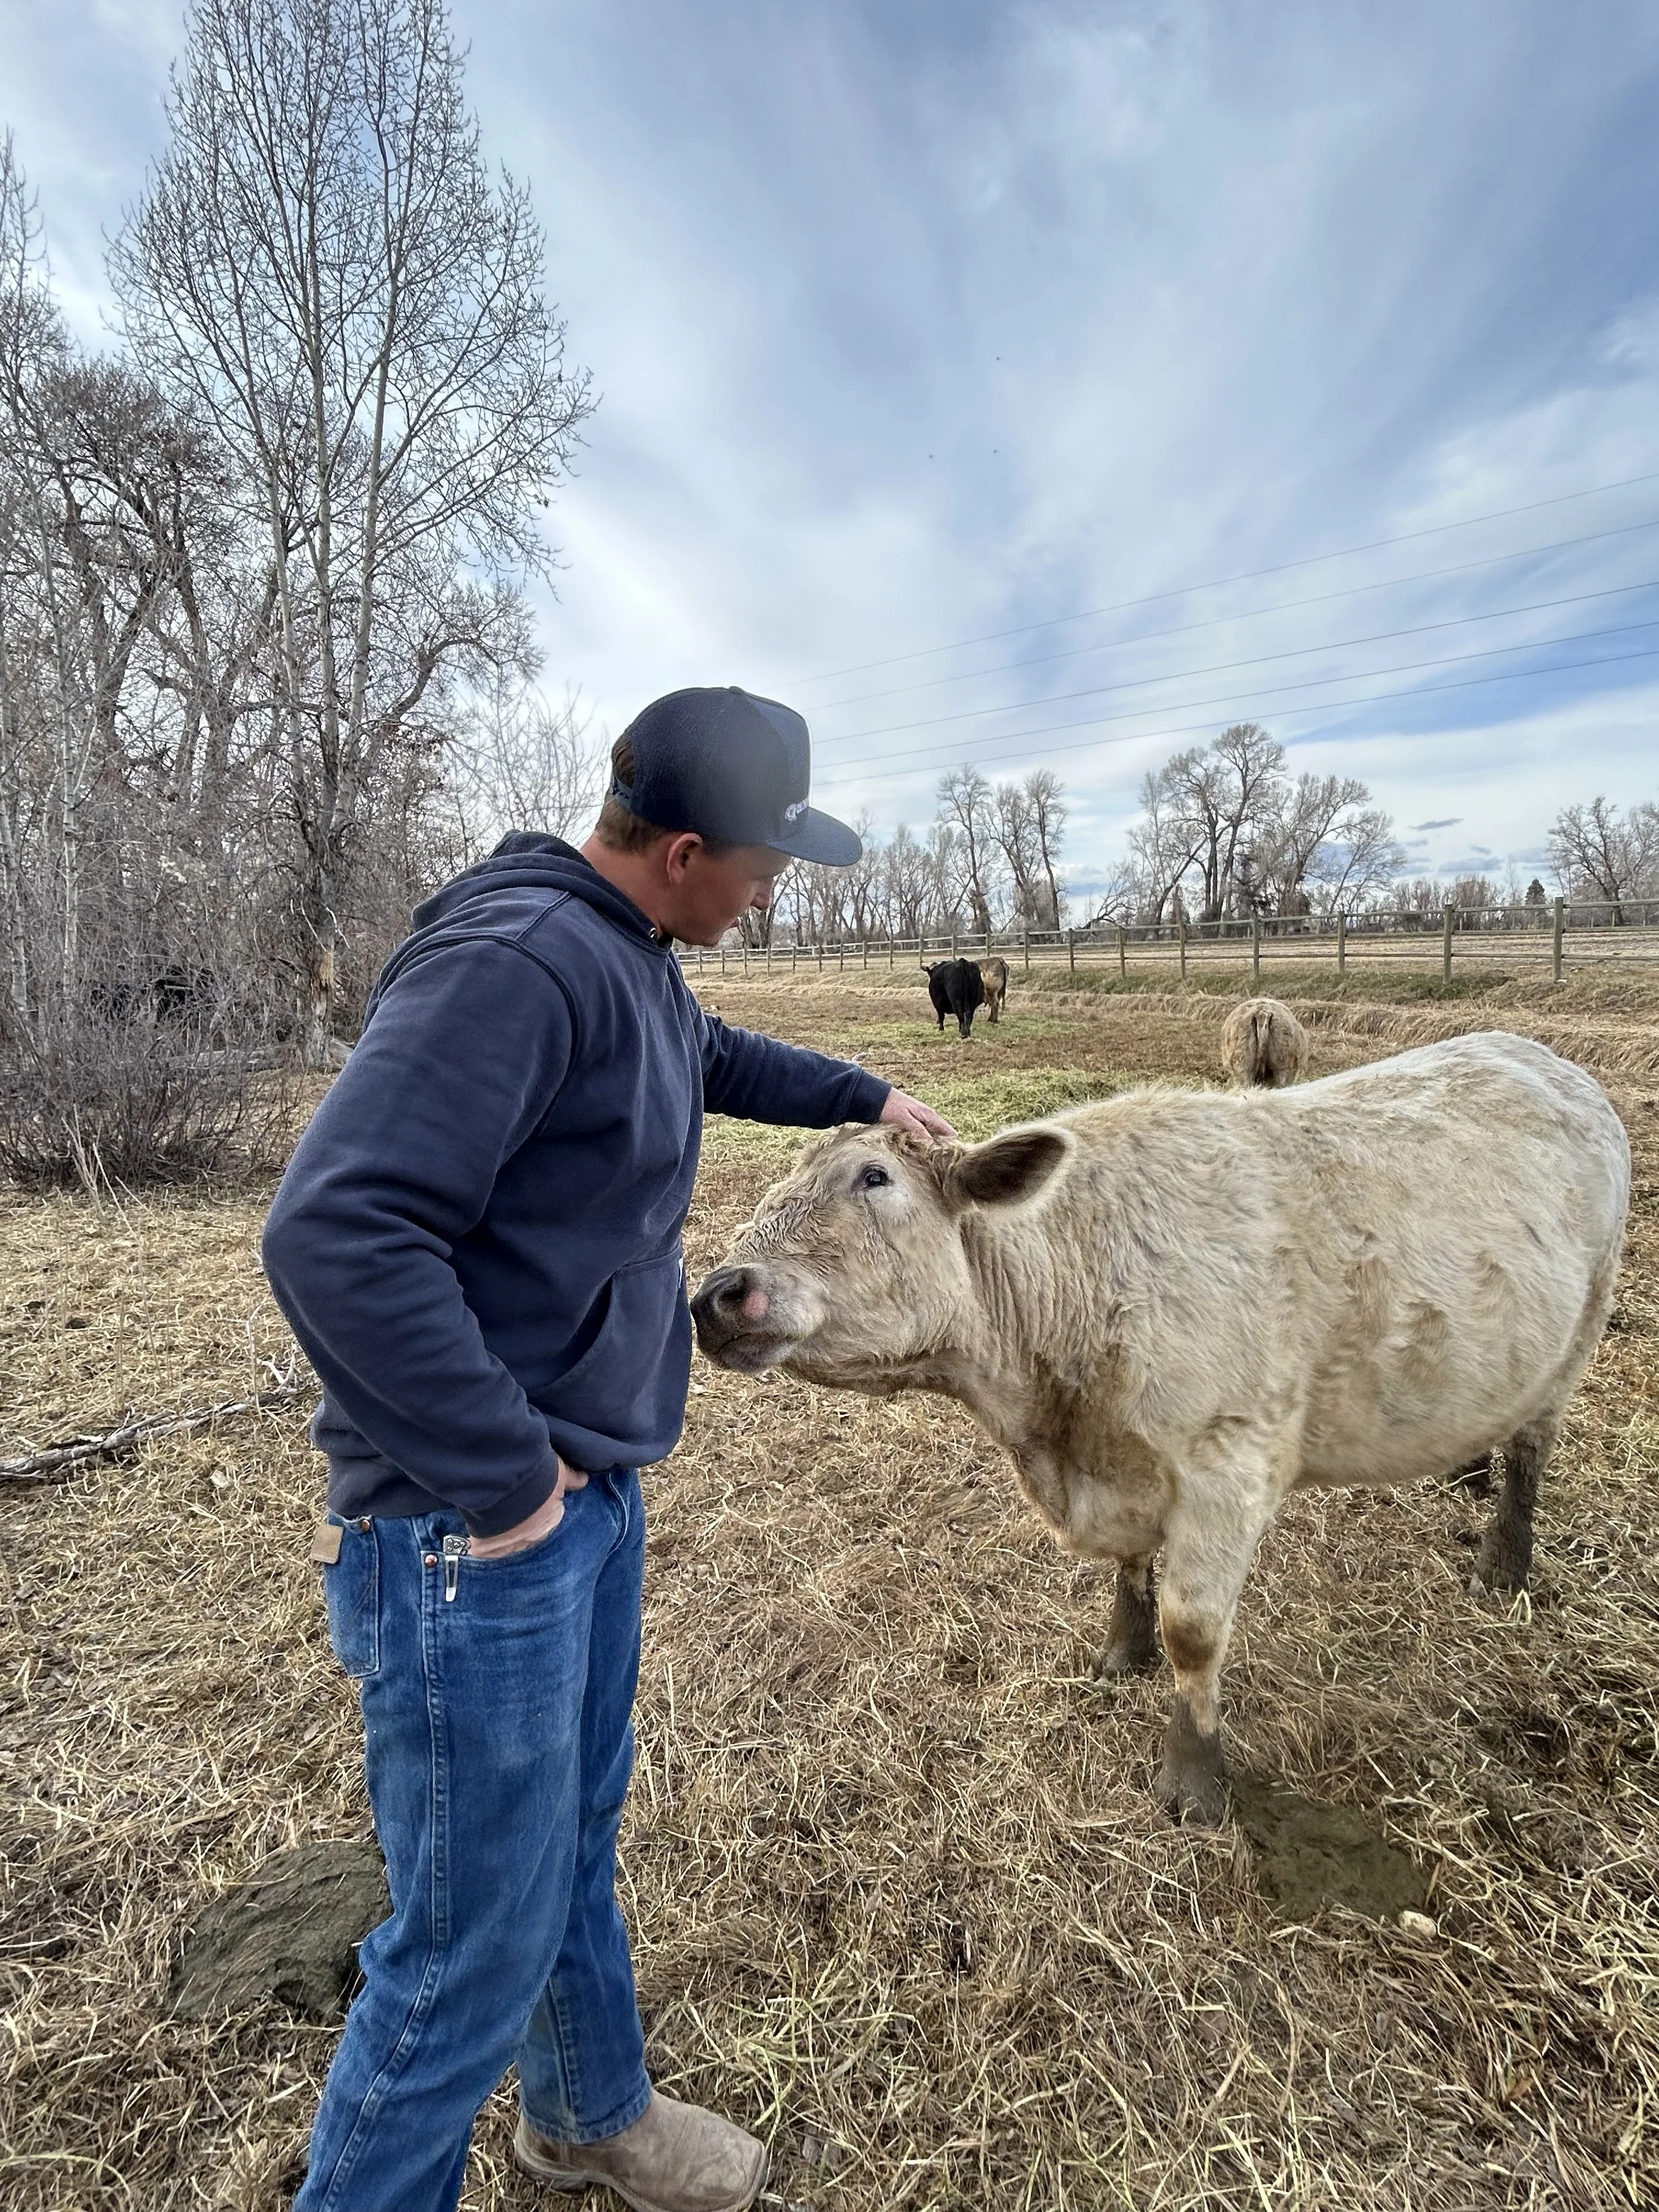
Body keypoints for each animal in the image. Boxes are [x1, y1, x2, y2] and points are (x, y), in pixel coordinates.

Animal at [690, 1034, 1630, 1825]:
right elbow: (1130, 1571)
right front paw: (1121, 1649)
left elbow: (1193, 1632)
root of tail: (1542, 1056)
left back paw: (1503, 1561)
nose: (714, 1295)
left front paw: (1193, 1776)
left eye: (873, 1178)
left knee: (1530, 1450)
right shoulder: (1120, 1466)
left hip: (1575, 1337)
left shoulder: (1227, 1470)